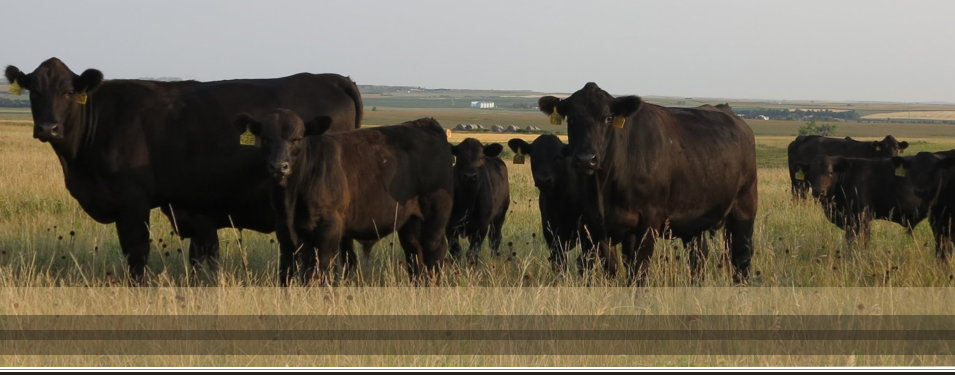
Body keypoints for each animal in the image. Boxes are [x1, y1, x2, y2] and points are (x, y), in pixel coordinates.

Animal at [4, 58, 362, 282]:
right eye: (34, 91)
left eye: (68, 92)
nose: (47, 127)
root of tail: (331, 78)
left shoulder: (132, 203)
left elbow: (136, 252)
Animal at [234, 111, 452, 284]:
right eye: (265, 138)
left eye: (297, 138)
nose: (279, 166)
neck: (291, 198)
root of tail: (425, 124)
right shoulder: (285, 232)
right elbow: (288, 274)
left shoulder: (329, 229)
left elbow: (321, 272)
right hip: (410, 223)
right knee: (415, 255)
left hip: (435, 218)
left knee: (435, 254)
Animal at [540, 83, 760, 284]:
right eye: (571, 118)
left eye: (608, 118)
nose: (586, 159)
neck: (605, 186)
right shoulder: (595, 226)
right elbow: (608, 267)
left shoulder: (649, 221)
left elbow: (638, 270)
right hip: (694, 219)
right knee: (698, 257)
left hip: (744, 206)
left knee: (741, 256)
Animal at [788, 135, 916, 200]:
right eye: (883, 147)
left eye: (897, 148)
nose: (892, 157)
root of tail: (800, 139)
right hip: (797, 178)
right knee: (798, 193)